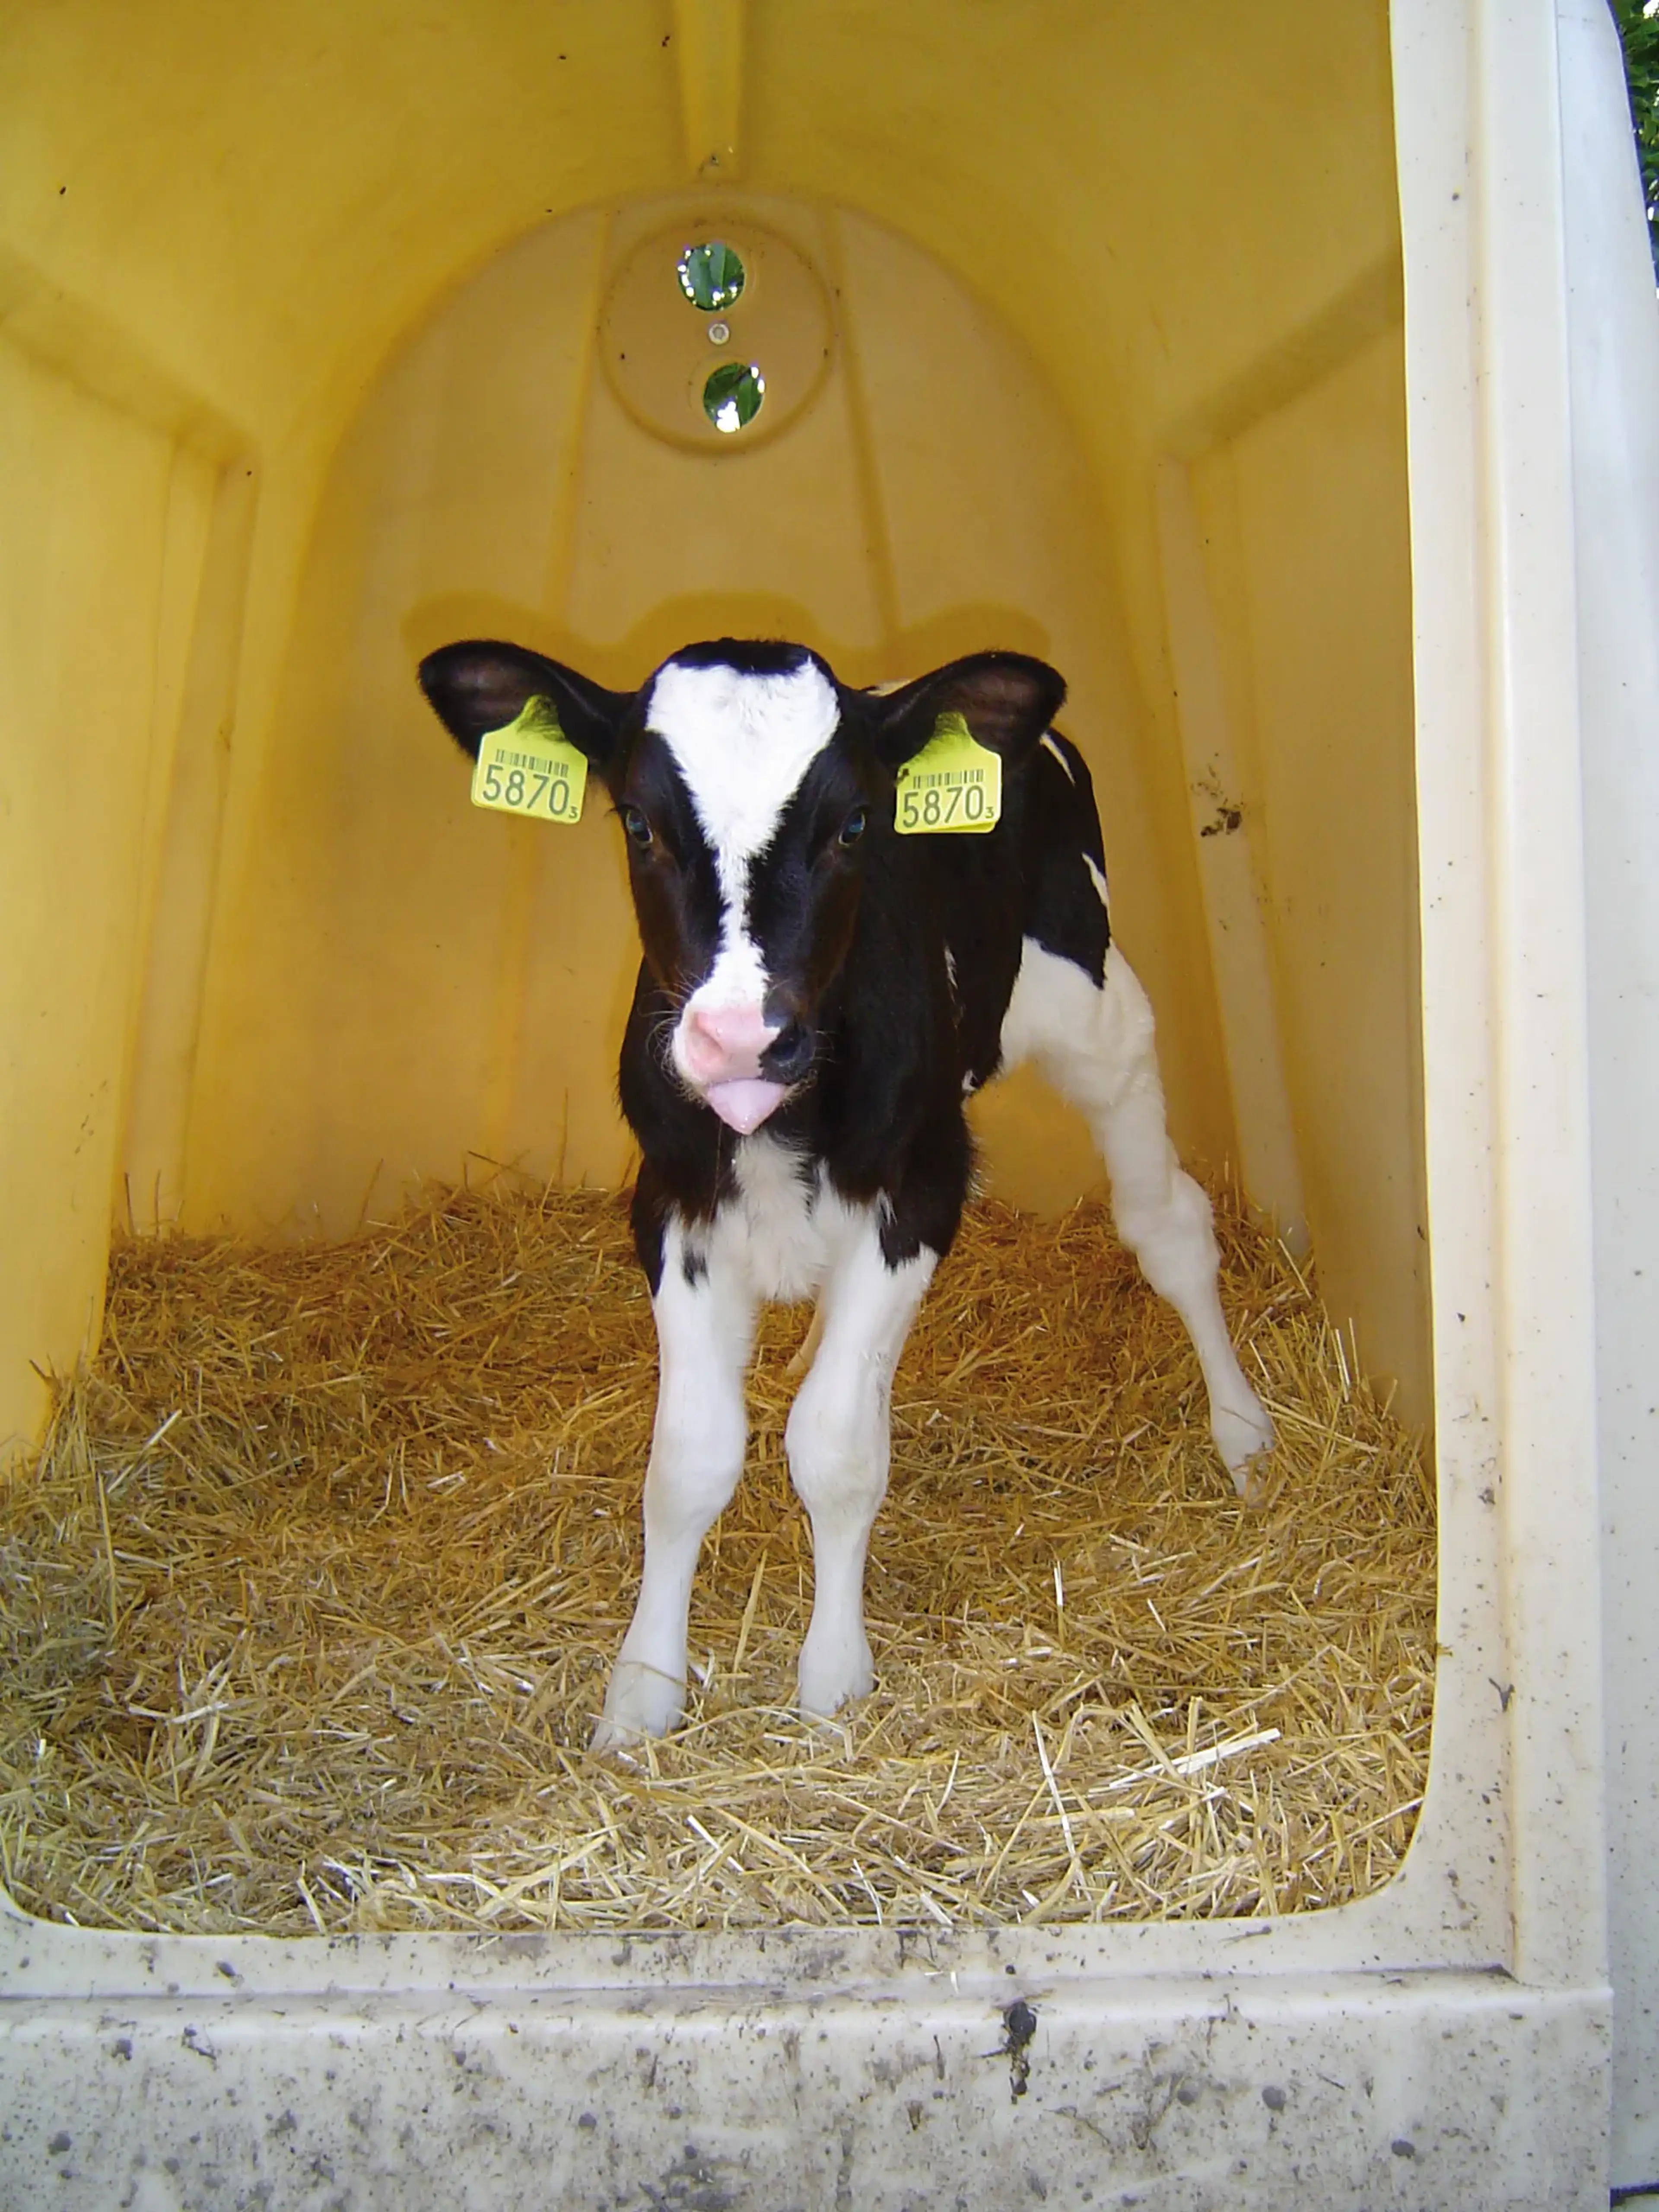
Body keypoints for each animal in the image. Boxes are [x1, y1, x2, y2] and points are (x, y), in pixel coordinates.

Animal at [418, 638, 1273, 1746]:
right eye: (638, 822)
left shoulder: (920, 1191)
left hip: (1101, 1017)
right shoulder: (672, 1206)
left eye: (856, 824)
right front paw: (641, 1693)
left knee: (1167, 1227)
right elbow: (688, 1458)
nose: (741, 1037)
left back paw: (1243, 1435)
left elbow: (831, 1445)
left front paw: (831, 1680)